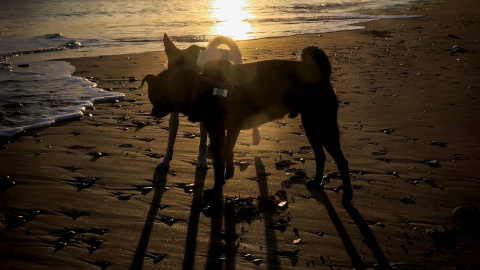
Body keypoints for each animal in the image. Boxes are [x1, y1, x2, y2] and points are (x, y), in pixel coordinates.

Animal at [142, 34, 352, 202]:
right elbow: (226, 153)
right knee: (321, 155)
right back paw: (316, 182)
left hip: (322, 124)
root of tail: (321, 74)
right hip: (311, 125)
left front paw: (216, 188)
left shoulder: (218, 131)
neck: (198, 84)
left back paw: (347, 195)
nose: (152, 112)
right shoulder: (226, 129)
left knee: (341, 161)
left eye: (153, 97)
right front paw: (227, 175)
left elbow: (220, 159)